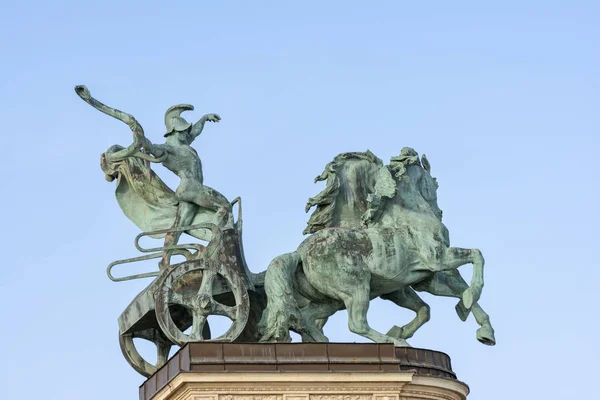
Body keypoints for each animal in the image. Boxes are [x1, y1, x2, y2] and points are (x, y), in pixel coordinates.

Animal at [256, 148, 492, 346]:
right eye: (433, 185)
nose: (439, 210)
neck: (410, 215)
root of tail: (299, 253)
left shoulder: (424, 279)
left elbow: (446, 296)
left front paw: (481, 325)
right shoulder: (438, 259)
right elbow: (477, 255)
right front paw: (473, 296)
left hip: (331, 299)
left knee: (306, 318)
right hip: (356, 289)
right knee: (356, 324)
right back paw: (394, 342)